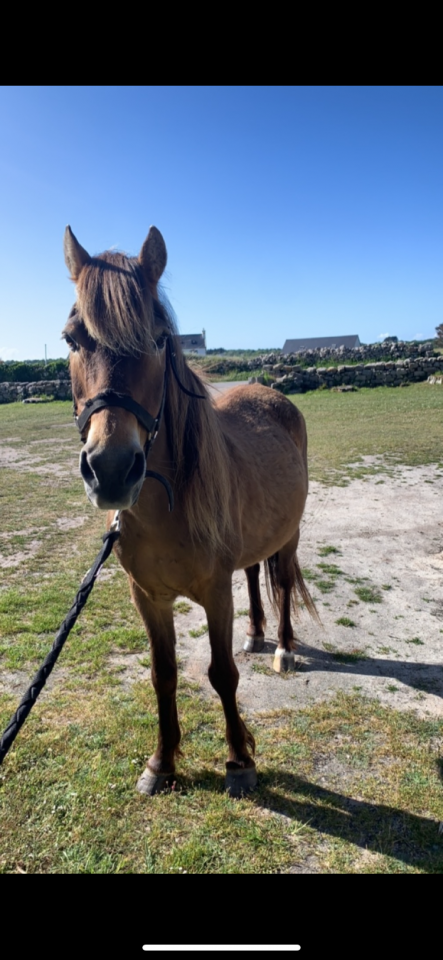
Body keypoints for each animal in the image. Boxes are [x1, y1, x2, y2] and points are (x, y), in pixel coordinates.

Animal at [62, 224, 317, 797]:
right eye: (72, 339)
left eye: (158, 338)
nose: (112, 469)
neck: (164, 514)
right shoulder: (147, 598)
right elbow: (164, 674)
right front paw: (162, 762)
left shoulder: (214, 593)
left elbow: (221, 674)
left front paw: (239, 761)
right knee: (254, 575)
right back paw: (255, 634)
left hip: (288, 536)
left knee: (281, 582)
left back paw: (283, 648)